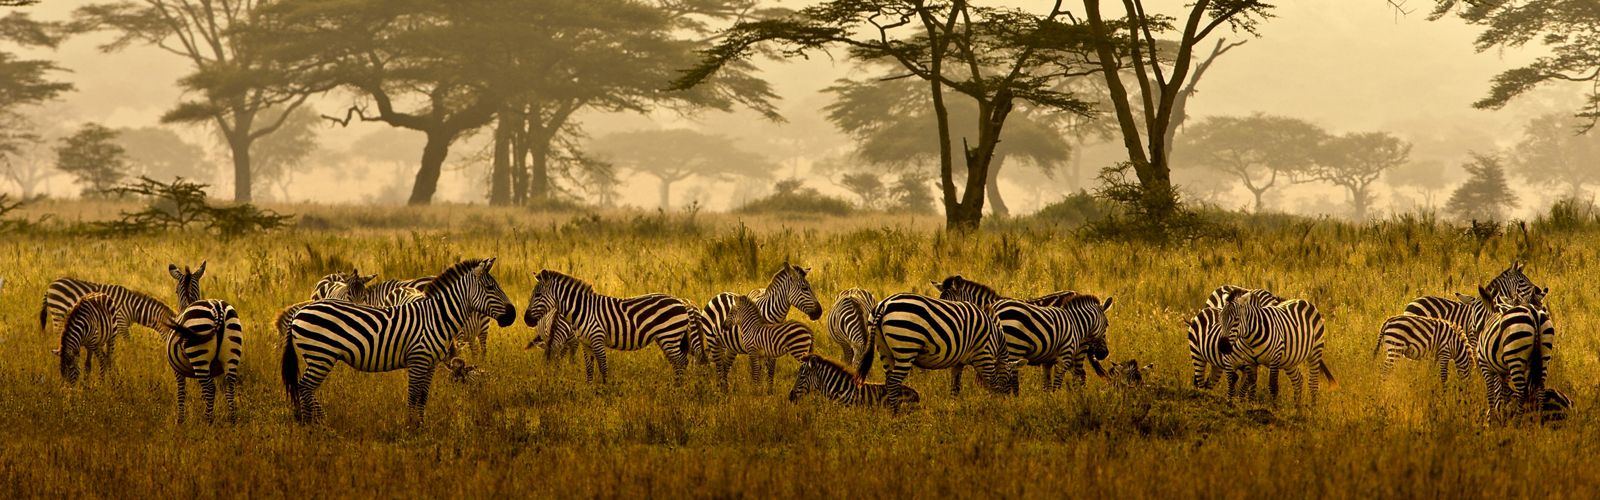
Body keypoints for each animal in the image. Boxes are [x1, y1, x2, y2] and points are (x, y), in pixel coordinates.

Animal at [39, 278, 176, 339]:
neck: (133, 308)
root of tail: (51, 285)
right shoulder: (121, 322)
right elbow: (129, 342)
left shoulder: (119, 325)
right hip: (59, 311)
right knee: (57, 333)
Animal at [282, 258, 516, 425]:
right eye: (490, 287)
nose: (513, 315)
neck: (436, 317)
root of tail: (299, 313)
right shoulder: (418, 359)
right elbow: (413, 395)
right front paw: (410, 427)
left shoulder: (430, 363)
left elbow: (423, 396)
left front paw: (420, 425)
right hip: (321, 355)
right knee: (305, 386)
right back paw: (316, 423)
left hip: (316, 356)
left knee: (304, 387)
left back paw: (313, 422)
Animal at [521, 269, 693, 384]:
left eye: (537, 295)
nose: (526, 319)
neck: (582, 310)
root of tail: (680, 302)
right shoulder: (586, 343)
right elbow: (589, 368)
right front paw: (589, 390)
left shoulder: (597, 339)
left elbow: (603, 367)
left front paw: (604, 391)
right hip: (665, 338)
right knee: (678, 362)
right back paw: (675, 386)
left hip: (669, 335)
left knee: (681, 361)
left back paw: (678, 389)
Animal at [859, 293, 1021, 412]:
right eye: (1008, 380)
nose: (1009, 403)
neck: (997, 340)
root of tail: (884, 304)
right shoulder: (984, 355)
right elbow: (993, 383)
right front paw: (995, 407)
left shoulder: (959, 362)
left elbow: (955, 387)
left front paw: (953, 409)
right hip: (906, 346)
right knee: (893, 382)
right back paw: (896, 413)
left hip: (884, 349)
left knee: (889, 381)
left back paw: (893, 411)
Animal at [1474, 287, 1554, 420]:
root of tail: (1534, 313)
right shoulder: (1504, 371)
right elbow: (1504, 393)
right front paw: (1503, 416)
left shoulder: (1485, 365)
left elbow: (1491, 393)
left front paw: (1492, 419)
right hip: (1544, 356)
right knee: (1540, 388)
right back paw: (1539, 420)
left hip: (1516, 357)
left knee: (1521, 391)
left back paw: (1517, 421)